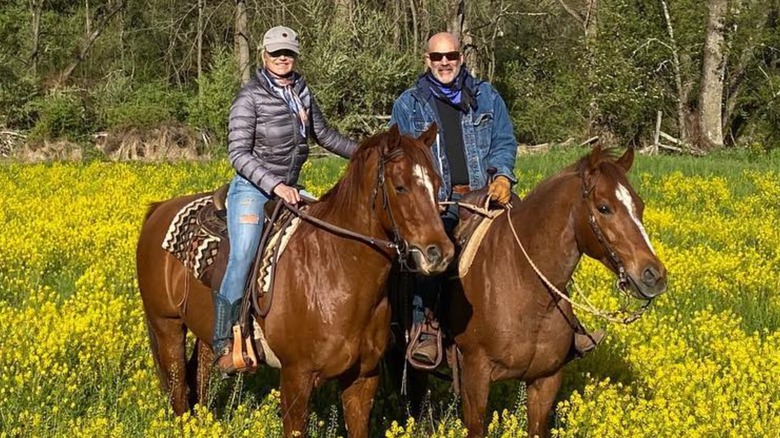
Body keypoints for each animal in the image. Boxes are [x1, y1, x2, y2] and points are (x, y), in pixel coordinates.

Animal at [133, 125, 450, 436]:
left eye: (436, 183)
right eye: (400, 186)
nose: (440, 253)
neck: (335, 271)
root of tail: (159, 208)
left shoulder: (363, 378)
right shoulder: (296, 376)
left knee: (200, 375)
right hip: (166, 326)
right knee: (178, 391)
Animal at [444, 145, 664, 436]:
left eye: (639, 205)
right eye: (604, 208)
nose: (654, 275)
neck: (526, 290)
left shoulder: (545, 380)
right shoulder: (474, 374)